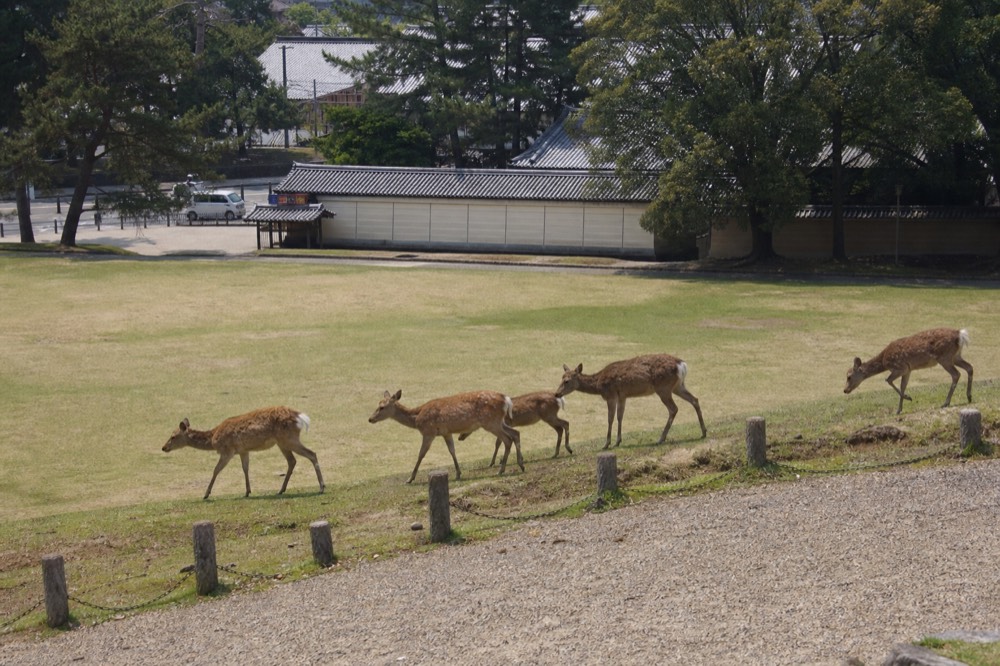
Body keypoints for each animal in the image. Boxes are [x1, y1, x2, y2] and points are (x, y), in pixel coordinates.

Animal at [162, 406, 325, 500]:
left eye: (173, 436)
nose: (164, 447)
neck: (213, 438)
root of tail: (300, 417)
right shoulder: (243, 451)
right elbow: (245, 468)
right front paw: (247, 491)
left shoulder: (227, 450)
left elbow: (216, 470)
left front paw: (206, 494)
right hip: (282, 442)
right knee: (292, 461)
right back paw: (280, 490)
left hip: (288, 439)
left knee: (312, 454)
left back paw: (322, 487)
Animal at [368, 389, 523, 483]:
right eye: (378, 405)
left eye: (382, 407)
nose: (370, 419)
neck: (417, 418)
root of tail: (506, 400)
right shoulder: (446, 432)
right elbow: (452, 450)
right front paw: (458, 474)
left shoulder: (428, 432)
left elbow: (421, 454)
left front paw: (410, 479)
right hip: (499, 422)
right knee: (515, 433)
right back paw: (520, 465)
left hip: (491, 422)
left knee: (507, 439)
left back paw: (501, 470)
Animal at [555, 353, 707, 449]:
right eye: (561, 377)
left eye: (566, 381)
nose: (557, 393)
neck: (598, 385)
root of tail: (682, 364)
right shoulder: (623, 396)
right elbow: (620, 417)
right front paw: (617, 441)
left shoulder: (610, 395)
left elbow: (610, 418)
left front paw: (606, 444)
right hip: (678, 386)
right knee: (695, 399)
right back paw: (703, 432)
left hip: (664, 388)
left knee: (673, 408)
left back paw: (661, 439)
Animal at [844, 328, 973, 414]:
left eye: (849, 376)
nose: (845, 390)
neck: (884, 361)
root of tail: (960, 334)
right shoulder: (908, 370)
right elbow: (903, 386)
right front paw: (899, 410)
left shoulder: (900, 367)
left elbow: (888, 380)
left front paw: (908, 397)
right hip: (955, 356)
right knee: (969, 367)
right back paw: (969, 396)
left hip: (945, 357)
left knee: (956, 374)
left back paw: (946, 402)